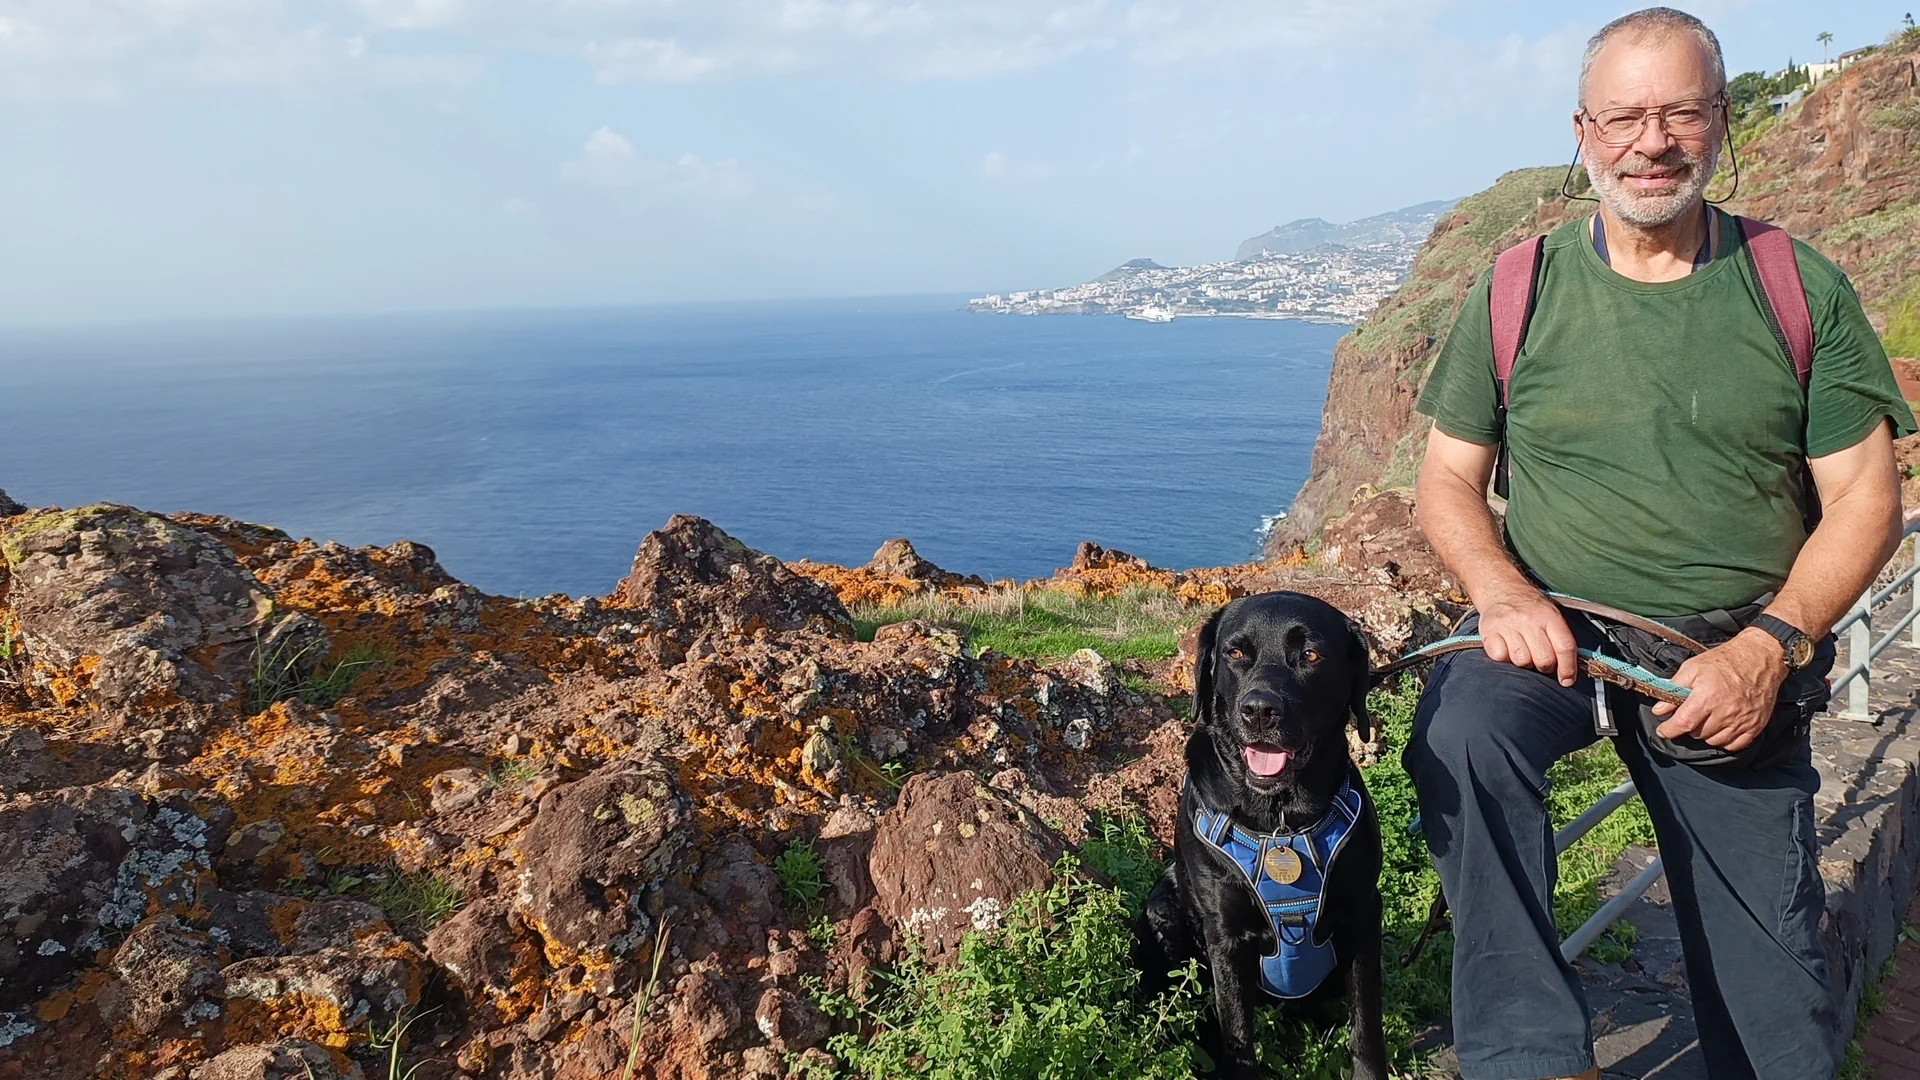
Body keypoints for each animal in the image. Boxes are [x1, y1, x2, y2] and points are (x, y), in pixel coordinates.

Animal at [1128, 591, 1390, 1068]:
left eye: (1311, 655)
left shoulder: (1362, 913)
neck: (1280, 823)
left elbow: (1366, 1029)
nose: (1259, 711)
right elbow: (1237, 1037)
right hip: (1163, 909)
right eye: (1235, 653)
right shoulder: (1225, 936)